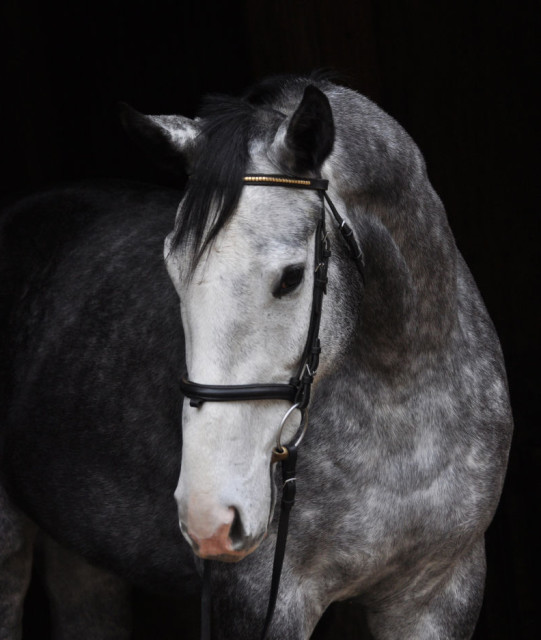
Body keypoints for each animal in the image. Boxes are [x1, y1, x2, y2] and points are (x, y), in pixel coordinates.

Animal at [1, 75, 510, 640]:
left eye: (291, 277)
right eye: (172, 270)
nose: (209, 517)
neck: (401, 403)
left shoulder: (439, 595)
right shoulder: (259, 600)